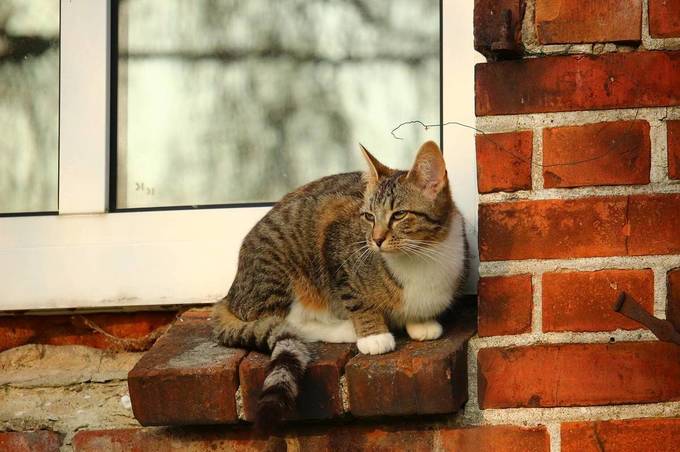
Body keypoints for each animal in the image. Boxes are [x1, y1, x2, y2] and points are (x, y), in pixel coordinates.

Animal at [212, 140, 468, 428]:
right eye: (368, 217)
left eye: (399, 215)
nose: (376, 240)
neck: (421, 256)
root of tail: (230, 295)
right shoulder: (335, 243)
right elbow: (357, 300)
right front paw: (374, 335)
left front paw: (420, 322)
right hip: (281, 270)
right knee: (284, 320)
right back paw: (344, 329)